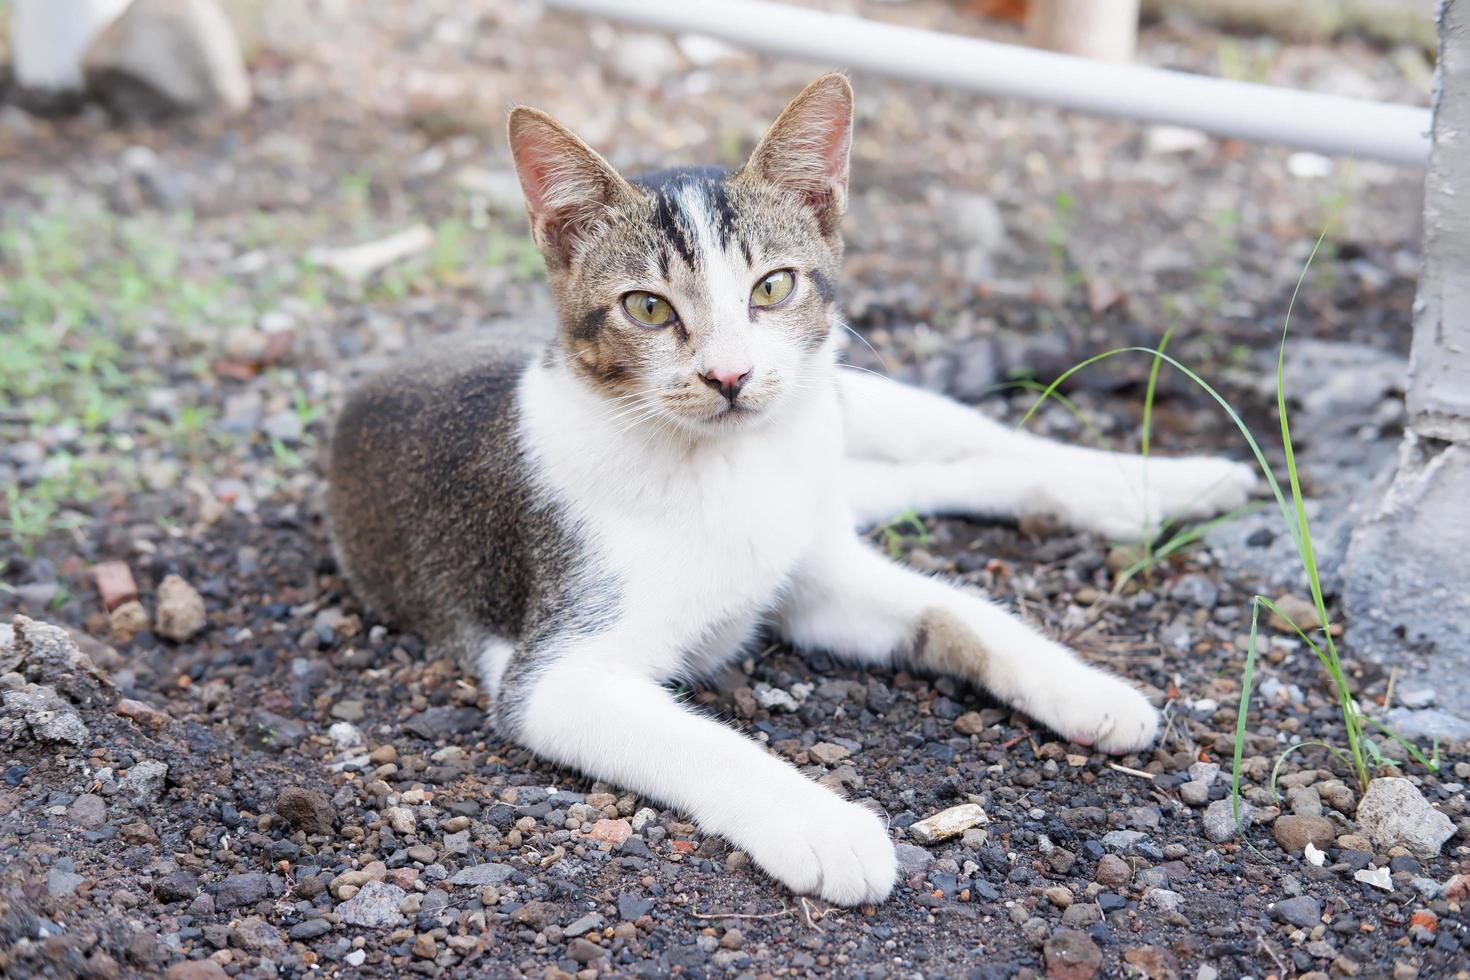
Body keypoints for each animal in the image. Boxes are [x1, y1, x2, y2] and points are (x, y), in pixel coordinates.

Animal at [327, 72, 1258, 910]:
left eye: (772, 287)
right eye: (647, 308)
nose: (730, 375)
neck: (733, 468)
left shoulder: (817, 568)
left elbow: (962, 612)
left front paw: (1087, 689)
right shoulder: (555, 672)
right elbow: (703, 742)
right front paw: (825, 827)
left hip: (854, 396)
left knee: (968, 444)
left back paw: (1163, 481)